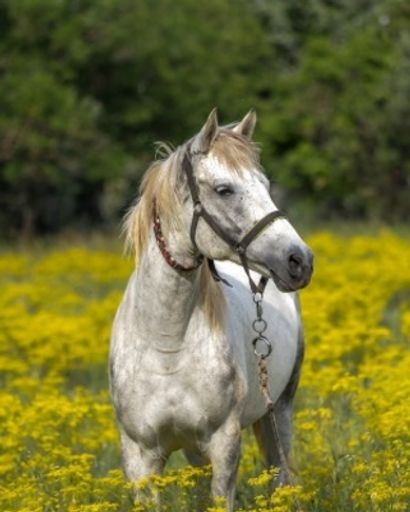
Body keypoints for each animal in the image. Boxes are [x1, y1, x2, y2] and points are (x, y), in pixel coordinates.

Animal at [109, 109, 314, 508]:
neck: (166, 344)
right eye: (224, 189)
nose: (299, 261)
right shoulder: (140, 456)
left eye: (265, 184)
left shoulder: (223, 444)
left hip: (278, 412)